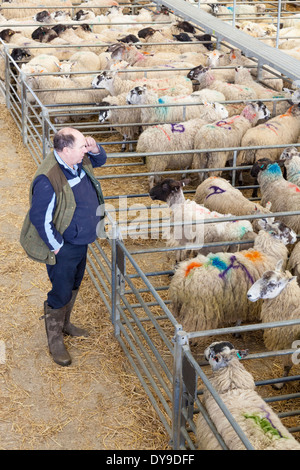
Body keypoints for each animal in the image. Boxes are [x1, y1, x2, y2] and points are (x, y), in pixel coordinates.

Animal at [168, 218, 296, 334]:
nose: (295, 237)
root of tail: (182, 278)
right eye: (285, 232)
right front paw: (237, 328)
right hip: (198, 309)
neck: (266, 253)